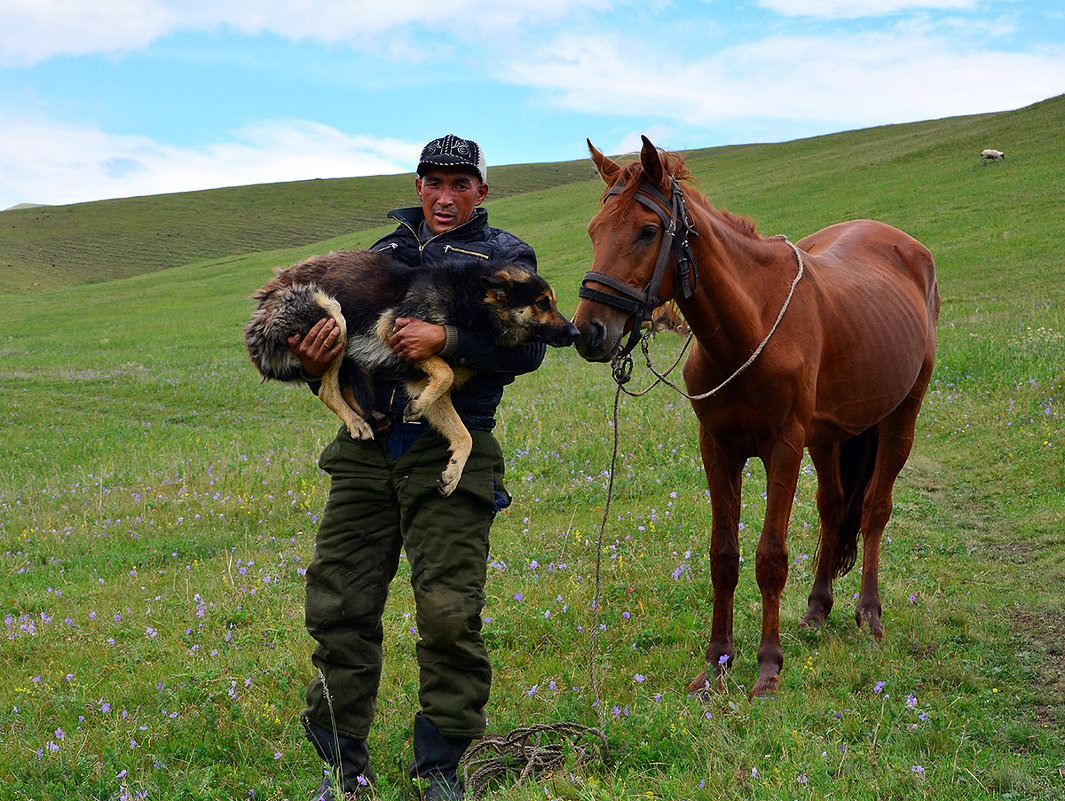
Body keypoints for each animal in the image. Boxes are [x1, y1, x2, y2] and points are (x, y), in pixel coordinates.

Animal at [244, 251, 579, 494]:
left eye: (551, 303)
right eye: (542, 304)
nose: (576, 333)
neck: (468, 300)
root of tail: (259, 312)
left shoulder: (420, 381)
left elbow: (464, 434)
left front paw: (453, 472)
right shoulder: (393, 329)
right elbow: (443, 372)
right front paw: (416, 408)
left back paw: (373, 417)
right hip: (333, 314)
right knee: (328, 389)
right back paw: (358, 423)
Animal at [575, 137, 941, 694]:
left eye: (647, 230)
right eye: (595, 230)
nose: (589, 331)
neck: (749, 327)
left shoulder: (783, 448)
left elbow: (770, 558)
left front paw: (768, 666)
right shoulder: (718, 448)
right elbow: (723, 556)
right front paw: (716, 662)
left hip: (902, 416)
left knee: (875, 511)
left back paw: (870, 614)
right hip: (828, 437)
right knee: (834, 508)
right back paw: (817, 610)